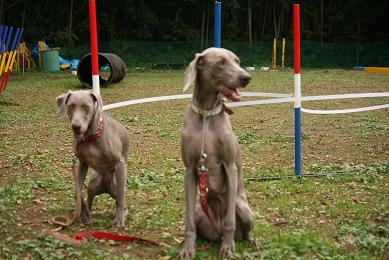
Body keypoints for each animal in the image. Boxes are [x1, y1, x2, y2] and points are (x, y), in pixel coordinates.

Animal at [55, 90, 129, 226]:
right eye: (70, 106)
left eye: (86, 107)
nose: (76, 126)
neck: (90, 137)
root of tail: (105, 188)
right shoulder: (83, 163)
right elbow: (77, 192)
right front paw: (84, 213)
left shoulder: (119, 163)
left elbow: (121, 197)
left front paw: (119, 220)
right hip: (93, 184)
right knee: (90, 198)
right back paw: (86, 214)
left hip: (115, 184)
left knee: (121, 199)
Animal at [179, 48, 258, 258]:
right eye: (221, 62)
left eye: (237, 61)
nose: (246, 77)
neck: (206, 113)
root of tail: (218, 229)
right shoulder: (189, 169)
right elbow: (189, 221)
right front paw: (188, 249)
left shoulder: (230, 167)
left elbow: (231, 220)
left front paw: (228, 248)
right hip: (200, 209)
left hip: (244, 209)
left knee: (242, 229)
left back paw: (248, 241)